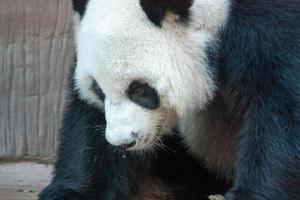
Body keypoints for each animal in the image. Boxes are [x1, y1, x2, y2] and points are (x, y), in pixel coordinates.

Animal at [39, 0, 300, 200]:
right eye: (98, 90)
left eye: (140, 90)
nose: (123, 142)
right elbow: (87, 120)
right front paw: (74, 192)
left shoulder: (272, 27)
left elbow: (280, 112)